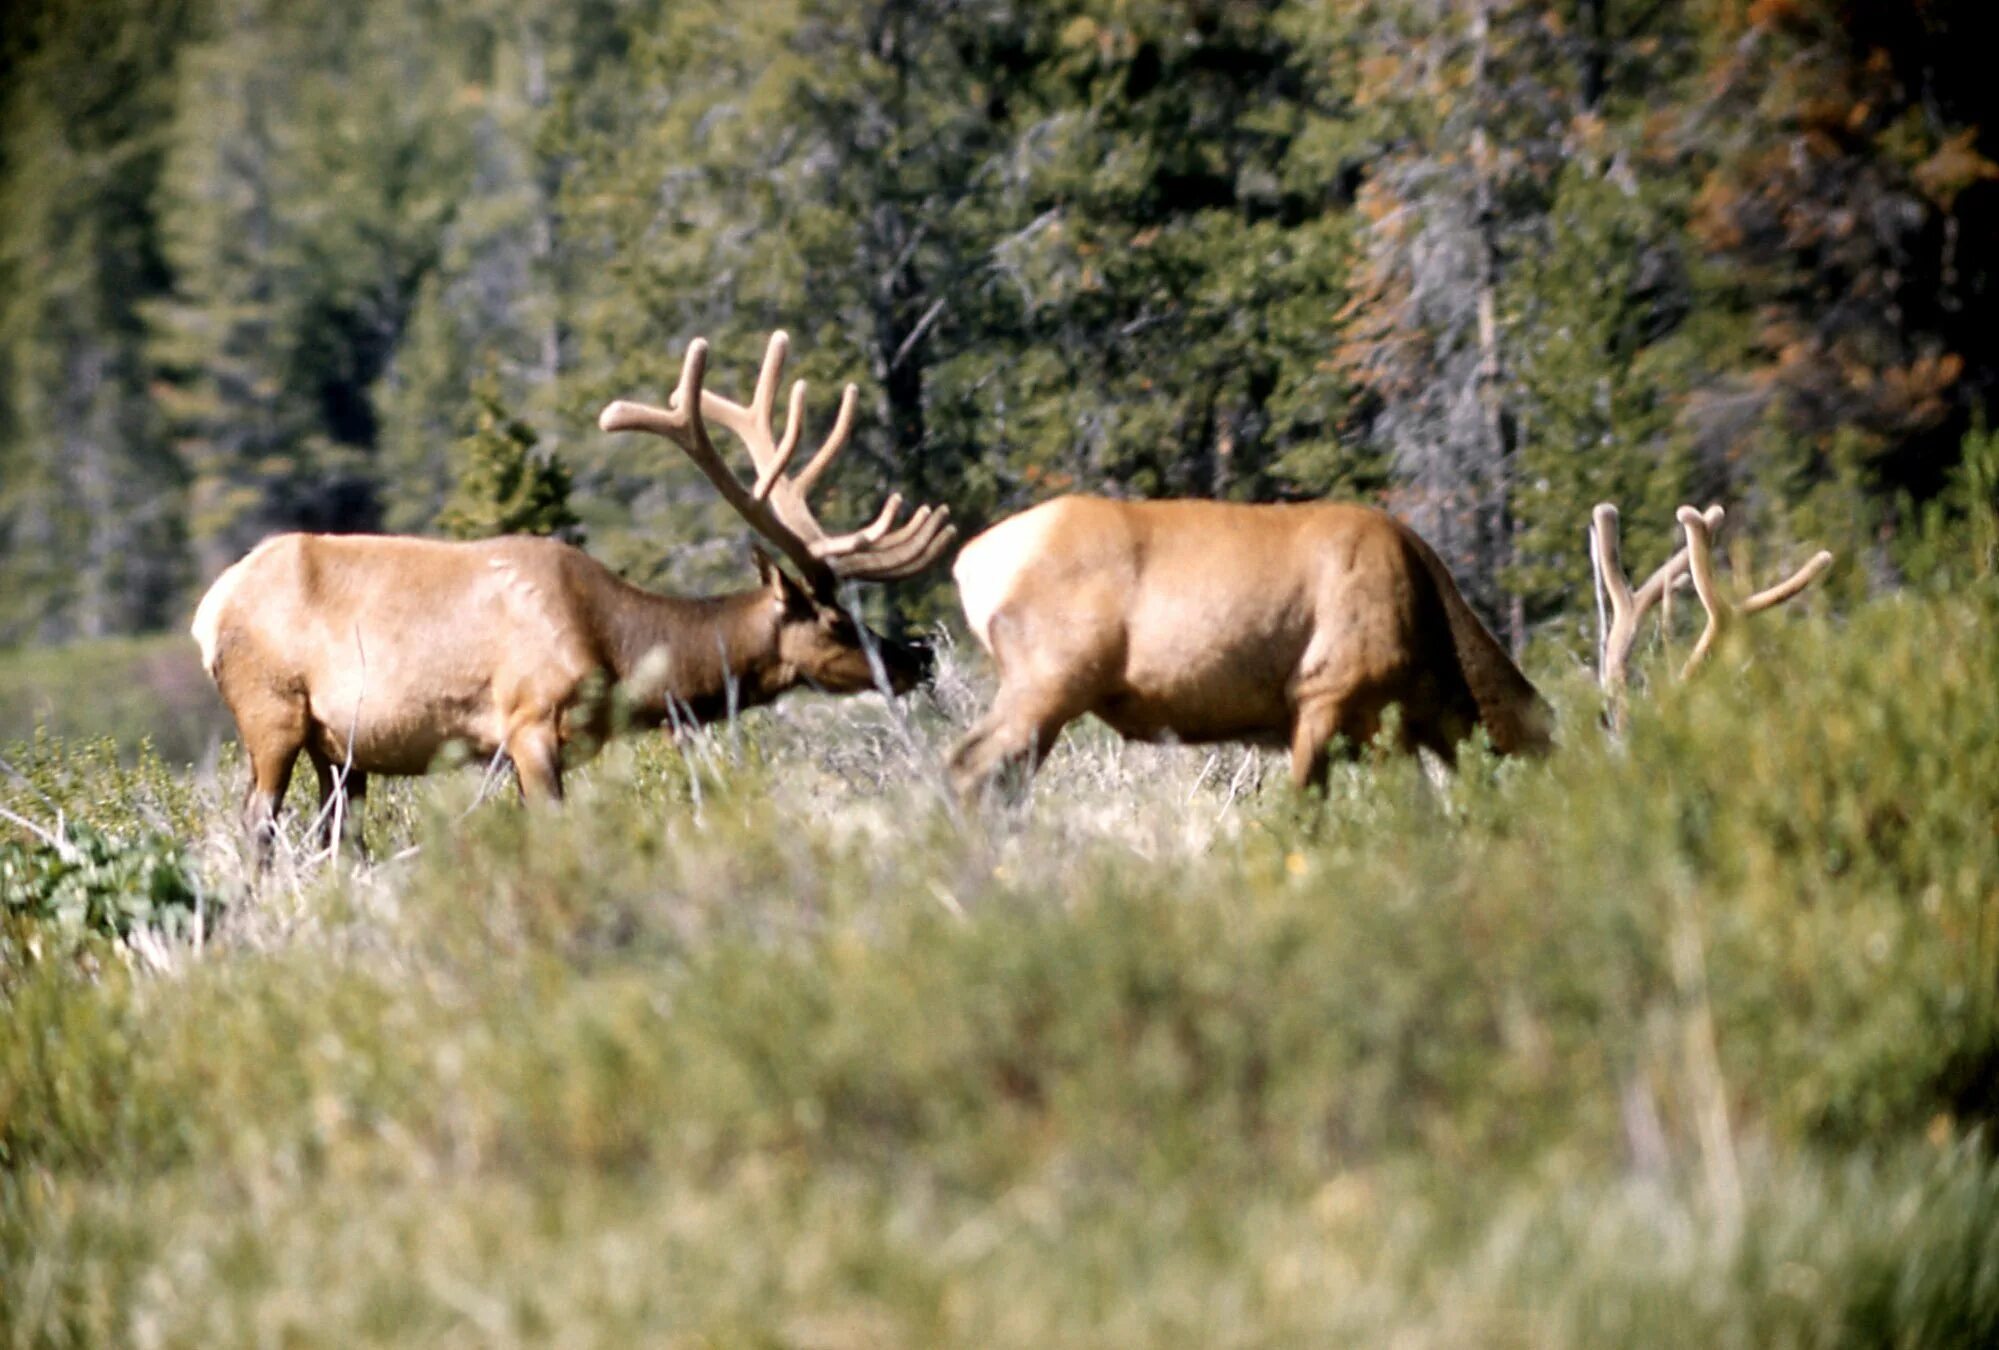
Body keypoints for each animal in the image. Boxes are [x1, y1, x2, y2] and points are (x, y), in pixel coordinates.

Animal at [190, 334, 955, 872]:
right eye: (835, 620)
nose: (916, 654)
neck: (615, 648)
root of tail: (209, 611)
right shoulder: (528, 720)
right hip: (270, 713)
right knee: (257, 824)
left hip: (338, 749)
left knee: (334, 834)